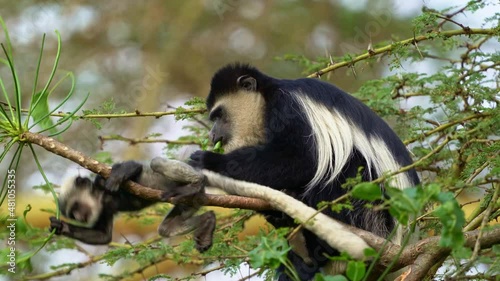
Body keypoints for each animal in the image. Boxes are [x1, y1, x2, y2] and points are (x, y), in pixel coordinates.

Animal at [49, 159, 217, 253]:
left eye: (76, 207)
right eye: (72, 215)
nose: (78, 217)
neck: (102, 198)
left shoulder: (101, 181)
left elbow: (134, 167)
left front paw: (116, 177)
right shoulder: (103, 210)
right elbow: (103, 236)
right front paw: (61, 227)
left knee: (155, 162)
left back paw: (196, 183)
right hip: (189, 202)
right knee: (167, 228)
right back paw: (208, 223)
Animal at [189, 62, 420, 278]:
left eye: (219, 115)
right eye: (213, 118)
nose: (212, 135)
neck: (266, 100)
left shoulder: (288, 107)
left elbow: (302, 158)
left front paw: (210, 160)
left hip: (369, 206)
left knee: (342, 167)